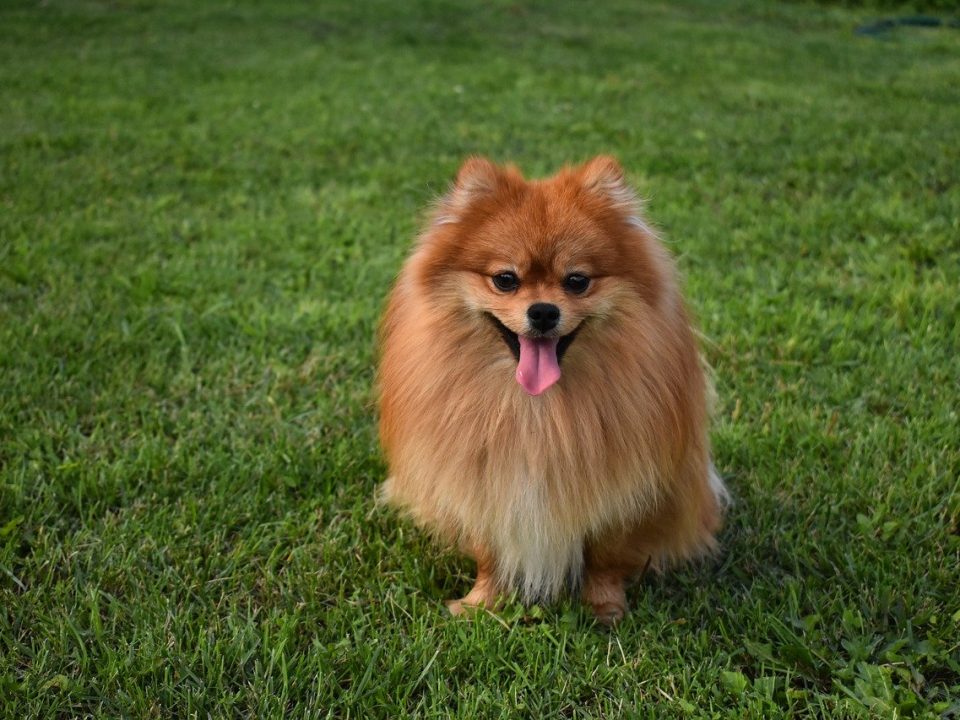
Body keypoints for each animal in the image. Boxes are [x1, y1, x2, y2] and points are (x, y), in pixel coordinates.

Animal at [378, 155, 724, 620]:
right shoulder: (483, 480)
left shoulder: (621, 490)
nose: (543, 311)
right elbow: (489, 551)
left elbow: (606, 555)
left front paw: (604, 607)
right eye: (505, 279)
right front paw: (481, 603)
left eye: (577, 281)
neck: (536, 409)